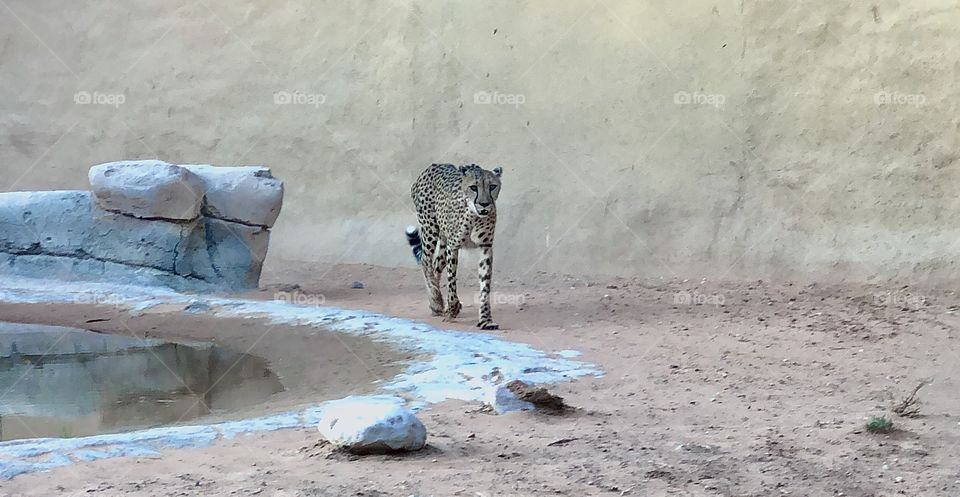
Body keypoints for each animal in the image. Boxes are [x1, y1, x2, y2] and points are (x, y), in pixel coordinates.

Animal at [405, 163, 503, 330]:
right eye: (474, 187)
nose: (484, 203)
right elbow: (451, 281)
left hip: (442, 243)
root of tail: (433, 165)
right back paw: (436, 301)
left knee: (436, 265)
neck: (475, 216)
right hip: (430, 229)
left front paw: (485, 320)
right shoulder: (453, 246)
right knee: (425, 261)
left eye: (492, 186)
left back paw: (436, 304)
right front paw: (453, 308)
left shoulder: (485, 246)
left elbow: (485, 285)